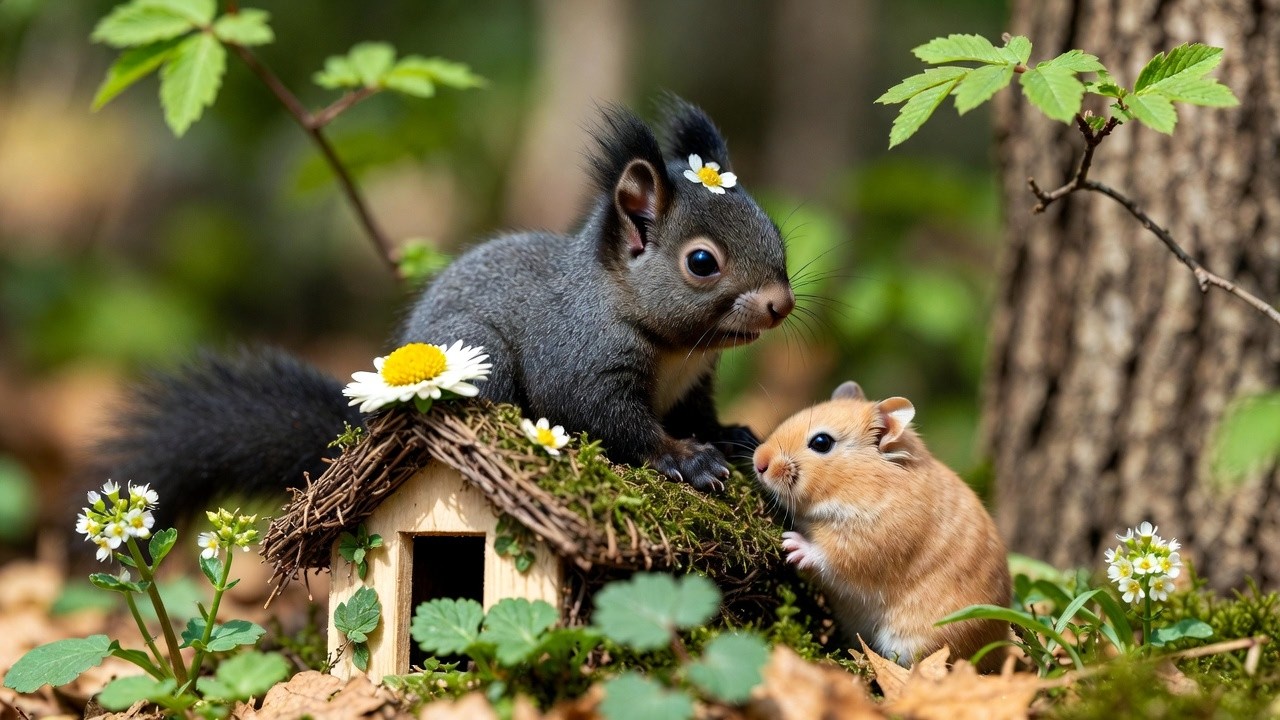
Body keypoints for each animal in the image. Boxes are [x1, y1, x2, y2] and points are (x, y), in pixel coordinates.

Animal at [99, 96, 794, 525]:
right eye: (701, 262)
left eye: (774, 230)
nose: (782, 304)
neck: (676, 346)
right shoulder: (580, 359)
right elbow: (609, 419)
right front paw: (684, 458)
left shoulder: (693, 385)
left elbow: (700, 414)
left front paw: (730, 435)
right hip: (480, 358)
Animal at [752, 381, 1011, 672]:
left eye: (821, 442)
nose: (758, 462)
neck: (867, 483)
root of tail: (999, 653)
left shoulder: (867, 544)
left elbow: (828, 555)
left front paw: (792, 545)